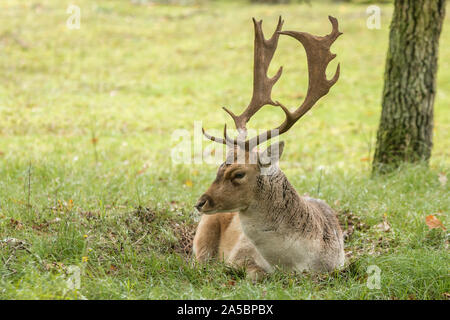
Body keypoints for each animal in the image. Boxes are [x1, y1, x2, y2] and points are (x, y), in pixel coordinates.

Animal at [193, 16, 344, 278]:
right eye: (219, 167)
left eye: (239, 174)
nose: (201, 202)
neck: (293, 263)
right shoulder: (239, 256)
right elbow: (255, 274)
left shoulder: (338, 265)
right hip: (203, 232)